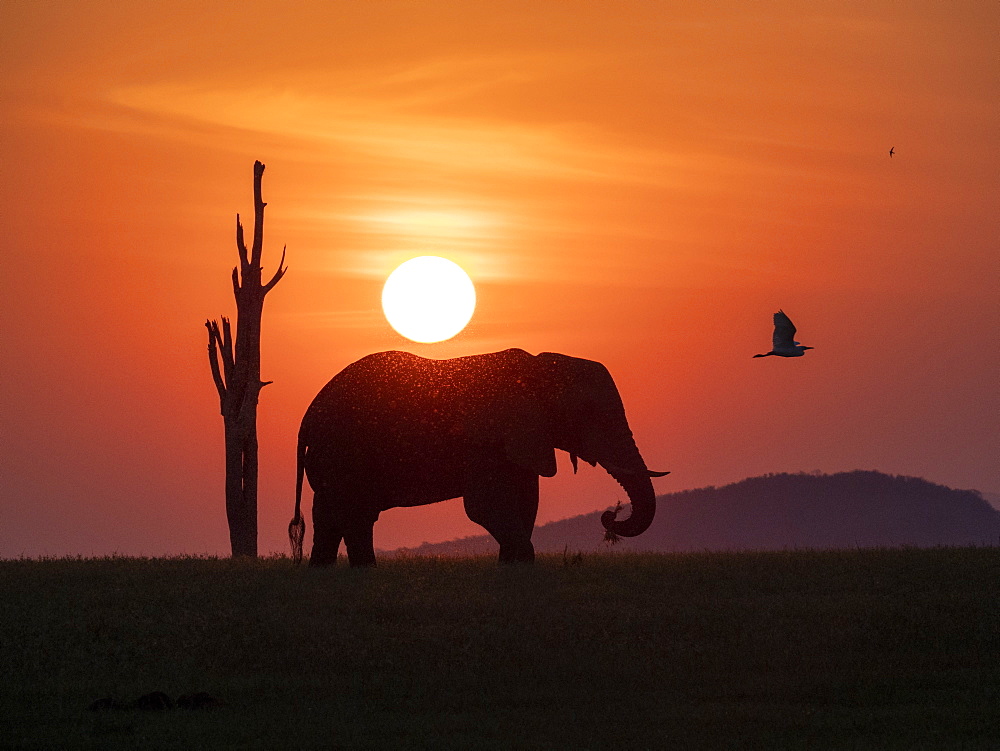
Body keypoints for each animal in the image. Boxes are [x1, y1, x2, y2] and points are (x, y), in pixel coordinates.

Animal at [288, 350, 664, 568]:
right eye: (587, 413)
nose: (609, 515)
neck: (537, 367)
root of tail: (306, 417)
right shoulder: (490, 440)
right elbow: (486, 507)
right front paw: (522, 566)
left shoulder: (520, 440)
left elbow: (526, 502)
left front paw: (511, 572)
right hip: (344, 453)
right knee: (356, 514)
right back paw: (363, 573)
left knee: (332, 516)